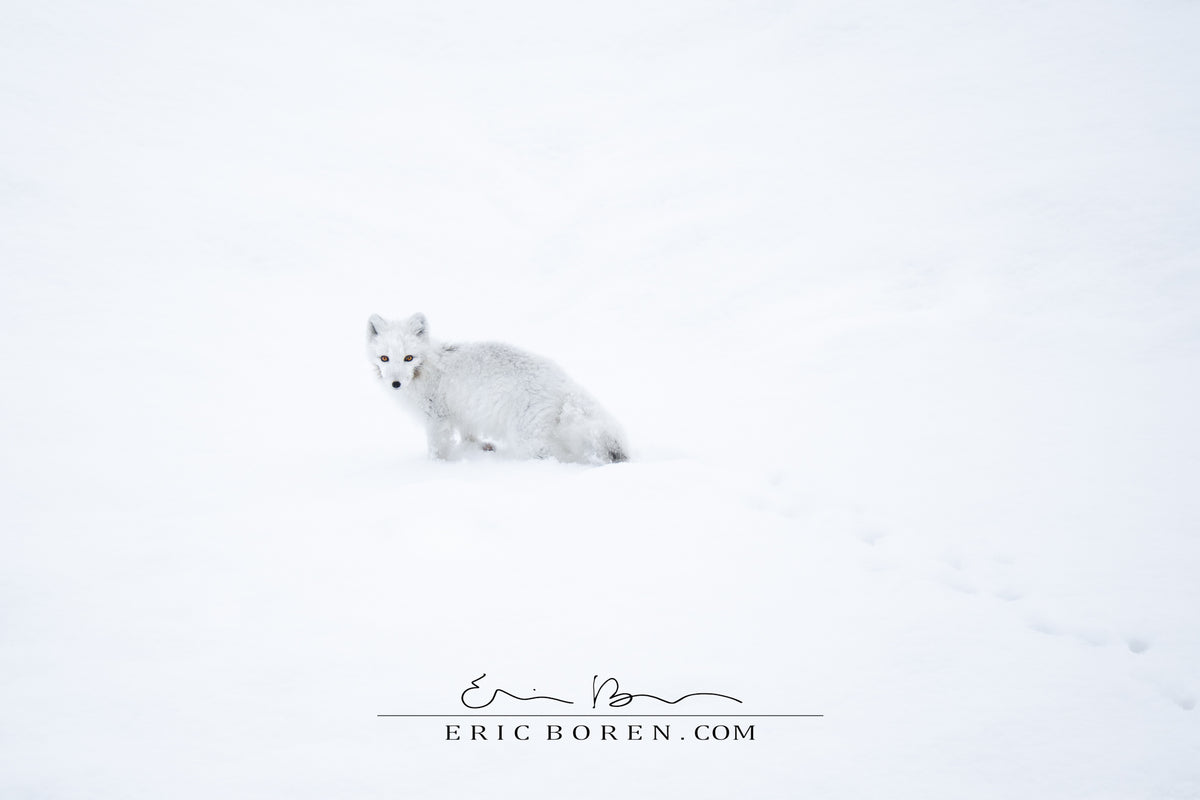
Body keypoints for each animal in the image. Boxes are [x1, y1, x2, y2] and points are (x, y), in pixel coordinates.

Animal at [367, 312, 629, 464]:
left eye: (408, 358)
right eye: (384, 358)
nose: (396, 384)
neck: (427, 366)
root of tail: (562, 381)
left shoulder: (436, 418)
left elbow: (437, 447)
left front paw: (435, 466)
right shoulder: (464, 412)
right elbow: (468, 434)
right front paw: (478, 448)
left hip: (528, 439)